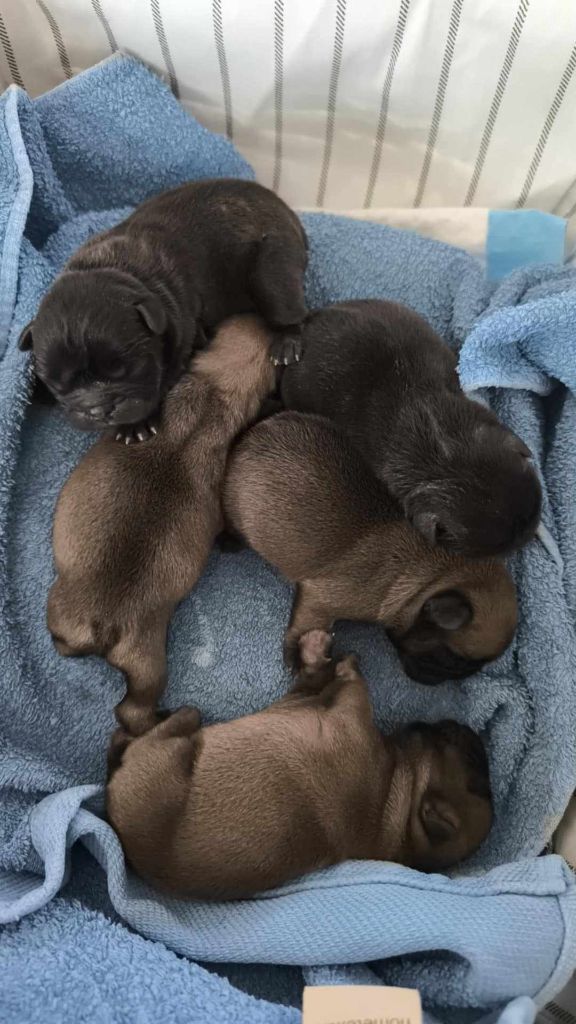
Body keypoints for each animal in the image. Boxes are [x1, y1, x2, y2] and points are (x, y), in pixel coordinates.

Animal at [20, 177, 307, 440]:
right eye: (59, 384)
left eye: (124, 371)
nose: (98, 409)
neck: (117, 269)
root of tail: (288, 213)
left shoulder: (179, 339)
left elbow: (159, 384)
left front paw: (135, 425)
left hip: (272, 268)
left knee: (287, 308)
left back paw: (287, 344)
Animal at [105, 626, 491, 901]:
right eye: (477, 764)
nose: (472, 733)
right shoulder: (307, 698)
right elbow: (315, 678)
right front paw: (318, 651)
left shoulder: (349, 716)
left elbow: (353, 685)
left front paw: (341, 661)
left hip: (166, 758)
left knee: (162, 730)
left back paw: (166, 720)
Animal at [220, 411, 516, 684]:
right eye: (449, 659)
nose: (447, 681)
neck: (430, 577)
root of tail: (251, 435)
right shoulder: (321, 601)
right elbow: (305, 625)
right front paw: (296, 656)